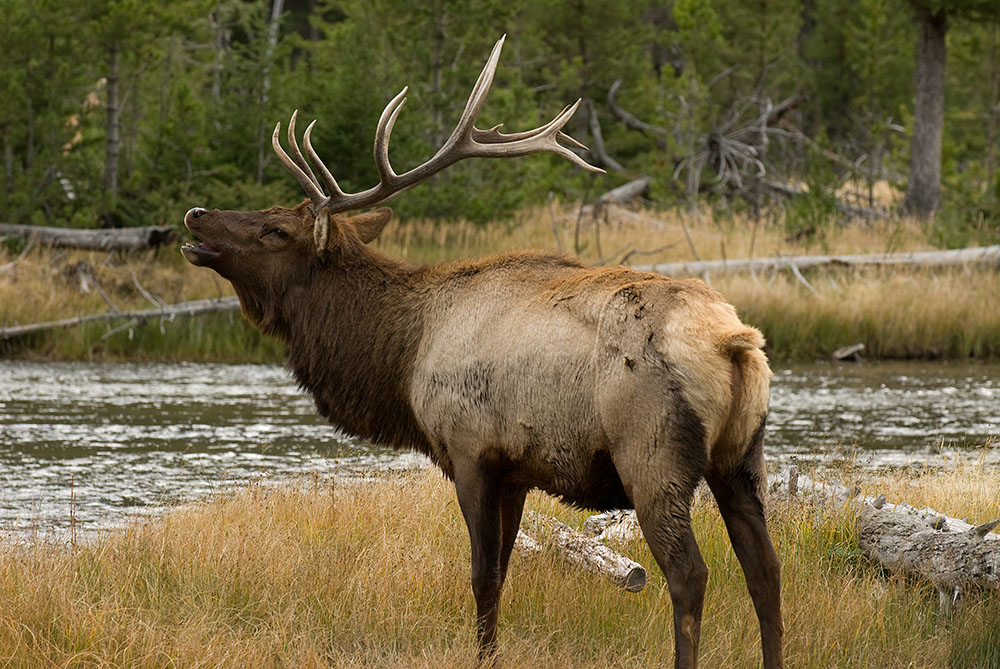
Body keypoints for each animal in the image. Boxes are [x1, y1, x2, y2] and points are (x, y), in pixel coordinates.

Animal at [181, 36, 782, 669]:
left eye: (277, 231)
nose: (196, 214)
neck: (402, 355)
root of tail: (734, 343)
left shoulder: (471, 450)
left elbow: (481, 574)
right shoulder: (517, 470)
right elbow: (505, 570)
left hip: (653, 454)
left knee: (690, 575)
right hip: (742, 458)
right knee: (765, 571)